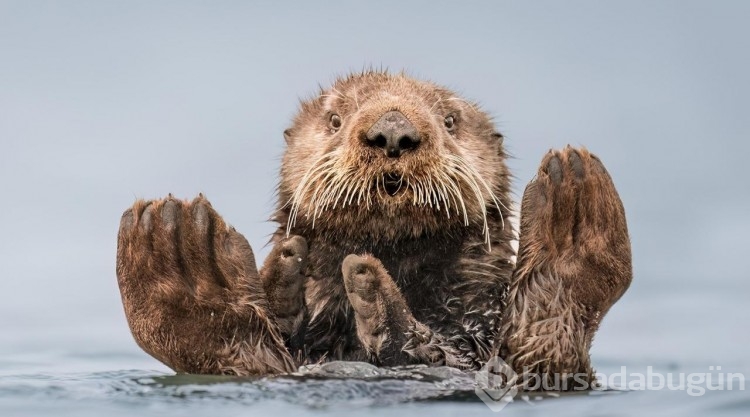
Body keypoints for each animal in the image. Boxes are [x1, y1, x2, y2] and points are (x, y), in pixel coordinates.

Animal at [116, 70, 636, 386]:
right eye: (334, 118)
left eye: (450, 120)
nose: (393, 131)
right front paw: (286, 274)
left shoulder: (478, 324)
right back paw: (183, 256)